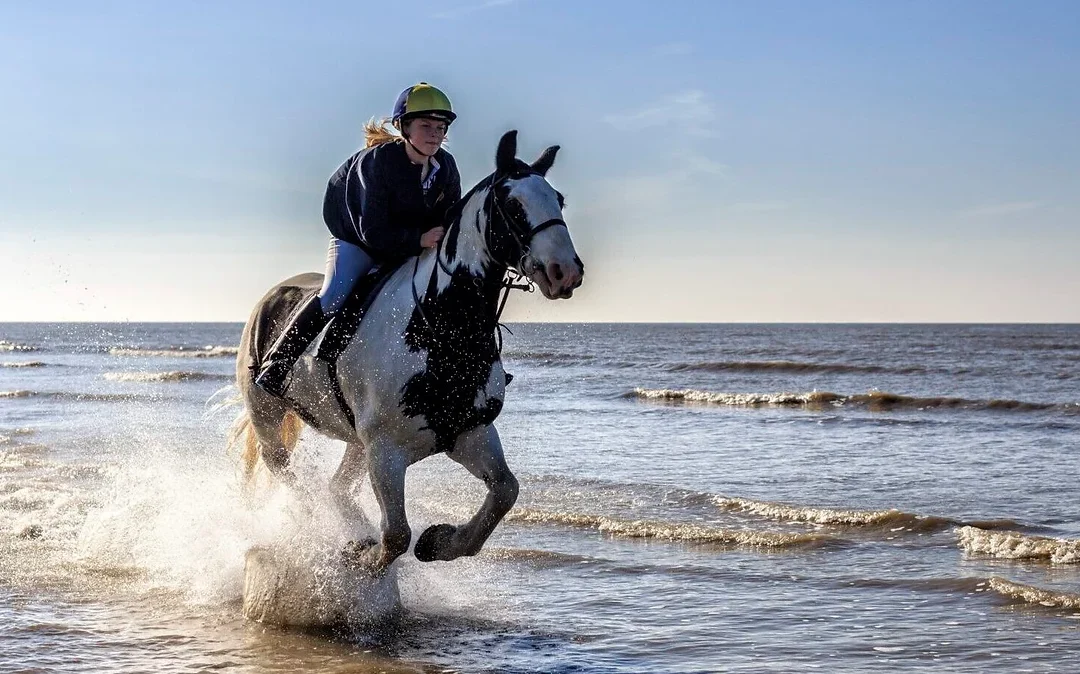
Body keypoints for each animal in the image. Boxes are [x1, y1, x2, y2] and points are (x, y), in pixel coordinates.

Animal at [227, 130, 583, 574]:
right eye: (513, 205)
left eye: (560, 200)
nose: (566, 272)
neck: (443, 331)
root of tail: (270, 298)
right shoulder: (386, 451)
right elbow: (396, 536)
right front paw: (364, 555)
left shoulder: (470, 434)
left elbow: (505, 491)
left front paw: (440, 542)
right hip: (269, 417)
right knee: (291, 476)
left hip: (356, 443)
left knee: (335, 487)